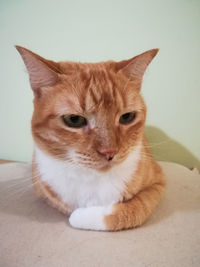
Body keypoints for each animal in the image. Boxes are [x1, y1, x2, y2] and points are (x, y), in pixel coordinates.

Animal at [16, 45, 166, 231]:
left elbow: (135, 209)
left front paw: (82, 216)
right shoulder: (43, 188)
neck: (91, 178)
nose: (109, 152)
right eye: (74, 120)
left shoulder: (157, 184)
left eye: (127, 117)